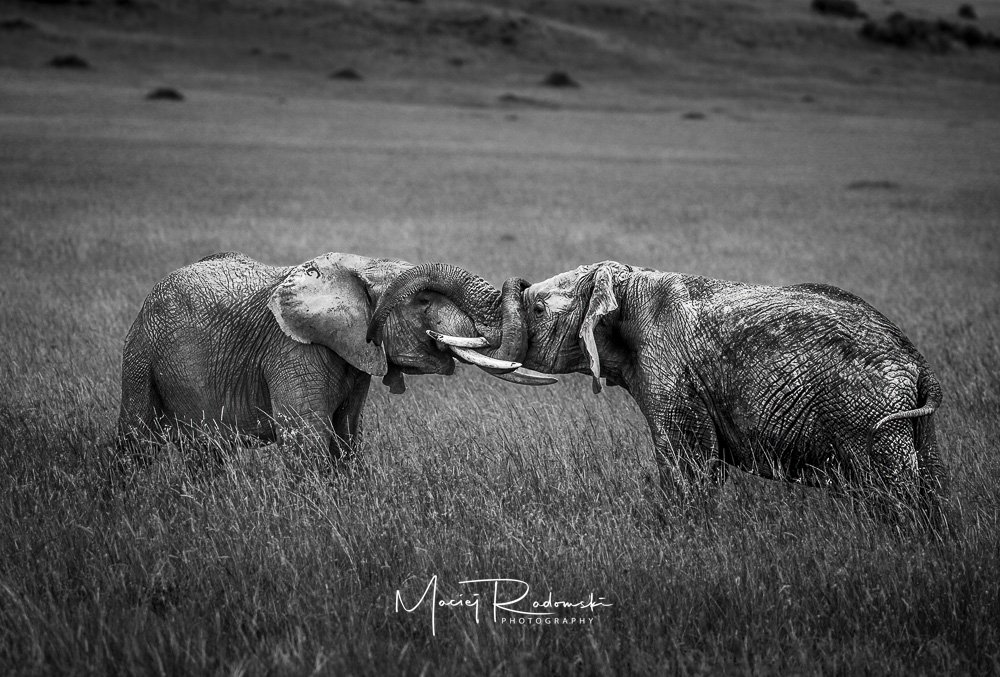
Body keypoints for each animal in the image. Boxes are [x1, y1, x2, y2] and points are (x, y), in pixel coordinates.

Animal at [117, 251, 553, 462]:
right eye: (424, 301)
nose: (527, 286)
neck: (359, 268)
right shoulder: (292, 350)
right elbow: (307, 442)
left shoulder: (354, 355)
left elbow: (345, 439)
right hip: (141, 351)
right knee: (135, 438)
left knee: (205, 453)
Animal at [368, 260, 946, 521]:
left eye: (536, 307)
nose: (519, 283)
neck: (626, 280)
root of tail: (918, 365)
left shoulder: (669, 367)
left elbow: (688, 469)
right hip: (913, 425)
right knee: (931, 491)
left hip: (867, 414)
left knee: (896, 496)